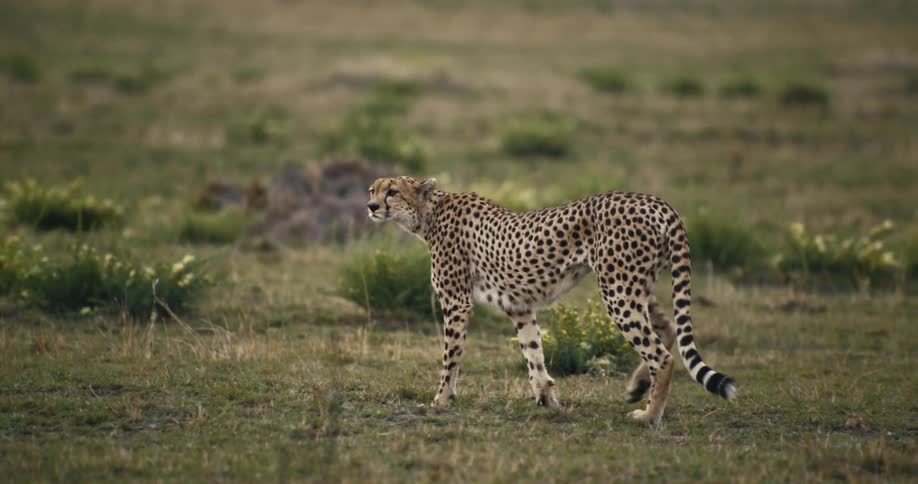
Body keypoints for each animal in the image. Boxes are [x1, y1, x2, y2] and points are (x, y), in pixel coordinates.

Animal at [366, 176, 736, 424]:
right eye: (373, 189)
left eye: (392, 191)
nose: (370, 206)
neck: (428, 213)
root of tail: (656, 201)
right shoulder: (519, 306)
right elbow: (534, 355)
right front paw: (548, 400)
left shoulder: (457, 302)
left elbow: (450, 358)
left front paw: (440, 400)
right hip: (632, 283)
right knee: (668, 326)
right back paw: (638, 386)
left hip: (617, 288)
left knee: (663, 355)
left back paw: (648, 416)